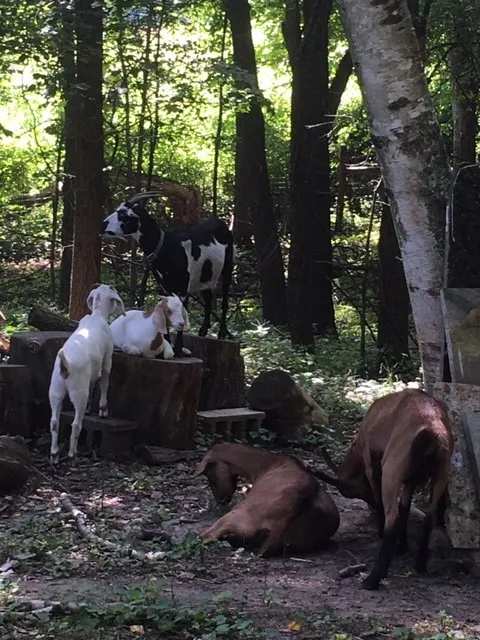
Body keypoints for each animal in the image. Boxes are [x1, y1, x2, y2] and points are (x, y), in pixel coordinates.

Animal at [48, 284, 125, 465]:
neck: (96, 316)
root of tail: (65, 365)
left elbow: (93, 385)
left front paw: (91, 409)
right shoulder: (107, 359)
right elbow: (104, 382)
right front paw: (103, 410)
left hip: (55, 390)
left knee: (54, 422)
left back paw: (54, 454)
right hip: (78, 393)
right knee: (76, 424)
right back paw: (72, 454)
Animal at [101, 192, 234, 355]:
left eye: (124, 215)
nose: (102, 225)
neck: (165, 247)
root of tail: (222, 224)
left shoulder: (183, 288)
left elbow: (181, 312)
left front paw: (178, 349)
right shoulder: (163, 286)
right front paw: (168, 343)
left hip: (227, 267)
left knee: (225, 300)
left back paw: (221, 333)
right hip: (206, 276)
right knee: (209, 298)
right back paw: (203, 331)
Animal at [314, 389, 453, 590]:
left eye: (348, 492)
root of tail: (434, 430)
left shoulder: (372, 465)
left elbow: (382, 502)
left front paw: (382, 533)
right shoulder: (411, 480)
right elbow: (405, 507)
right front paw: (403, 546)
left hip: (391, 468)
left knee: (391, 515)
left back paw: (373, 578)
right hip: (441, 473)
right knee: (429, 516)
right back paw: (420, 564)